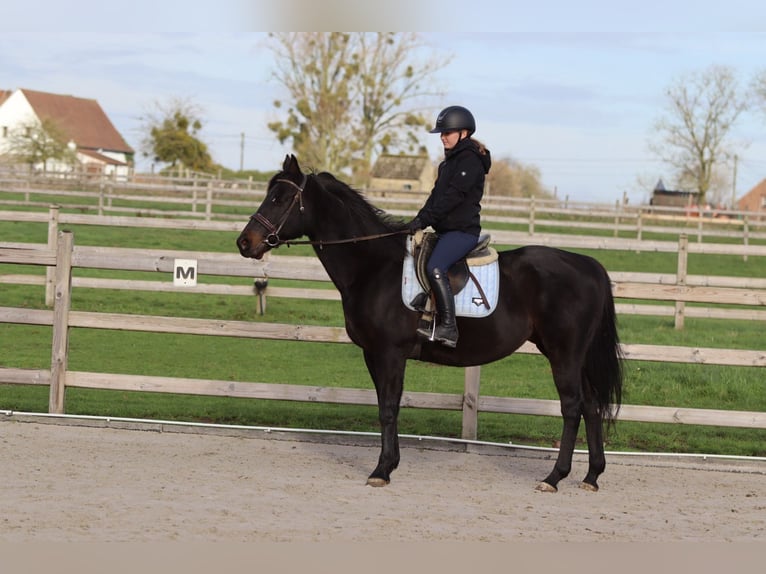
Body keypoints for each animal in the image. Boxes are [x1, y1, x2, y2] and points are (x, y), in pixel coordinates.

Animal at [237, 154, 623, 492]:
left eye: (280, 198)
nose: (244, 243)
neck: (373, 267)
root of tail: (589, 265)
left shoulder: (390, 353)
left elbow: (388, 409)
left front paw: (381, 471)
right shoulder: (373, 355)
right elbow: (385, 405)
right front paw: (390, 464)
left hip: (563, 354)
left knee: (572, 407)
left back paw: (554, 478)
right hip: (572, 356)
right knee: (590, 406)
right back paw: (591, 476)